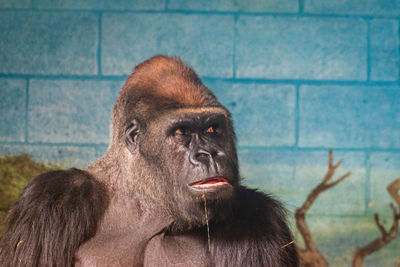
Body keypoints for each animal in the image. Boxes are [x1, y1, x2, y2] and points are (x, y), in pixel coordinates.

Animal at [0, 55, 296, 266]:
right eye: (181, 131)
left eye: (214, 128)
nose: (210, 154)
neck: (146, 200)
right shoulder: (53, 196)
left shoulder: (258, 216)